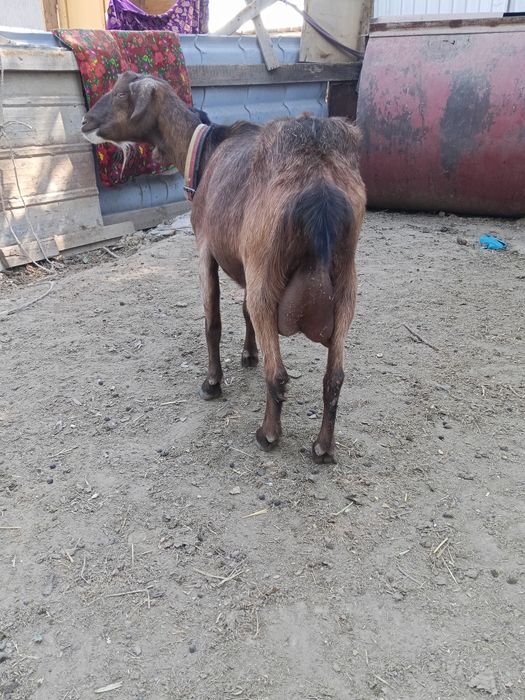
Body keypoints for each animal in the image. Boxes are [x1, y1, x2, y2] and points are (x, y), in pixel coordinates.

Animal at [82, 71, 366, 463]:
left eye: (122, 94)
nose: (85, 123)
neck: (204, 150)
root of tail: (319, 182)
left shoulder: (205, 246)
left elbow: (212, 322)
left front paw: (212, 383)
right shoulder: (244, 264)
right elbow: (242, 312)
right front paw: (248, 354)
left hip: (266, 275)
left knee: (278, 373)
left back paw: (268, 434)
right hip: (344, 283)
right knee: (334, 376)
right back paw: (323, 447)